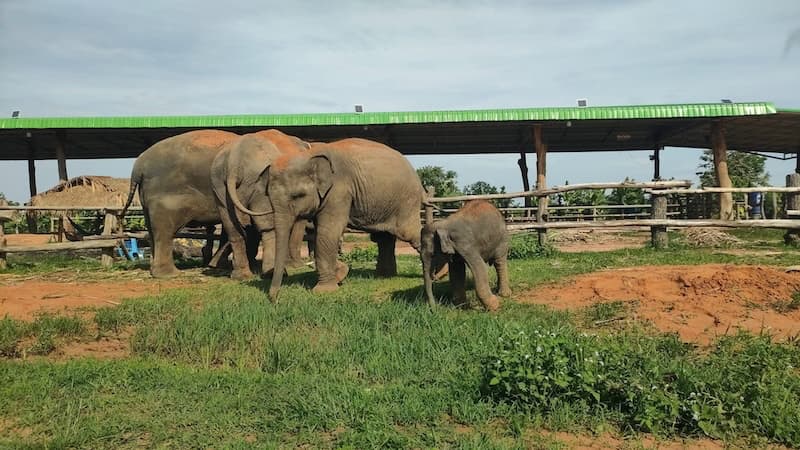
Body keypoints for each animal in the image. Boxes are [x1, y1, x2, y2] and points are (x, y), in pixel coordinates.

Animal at [210, 129, 310, 280]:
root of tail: (234, 164)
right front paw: (296, 266)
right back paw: (271, 272)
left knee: (233, 224)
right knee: (266, 225)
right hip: (260, 183)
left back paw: (241, 275)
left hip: (219, 186)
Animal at [233, 138, 427, 299]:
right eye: (269, 197)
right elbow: (321, 231)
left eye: (298, 196)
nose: (273, 299)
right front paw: (341, 274)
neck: (308, 154)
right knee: (383, 238)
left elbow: (328, 232)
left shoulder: (339, 190)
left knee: (408, 232)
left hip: (406, 200)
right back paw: (384, 276)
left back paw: (432, 275)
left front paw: (324, 291)